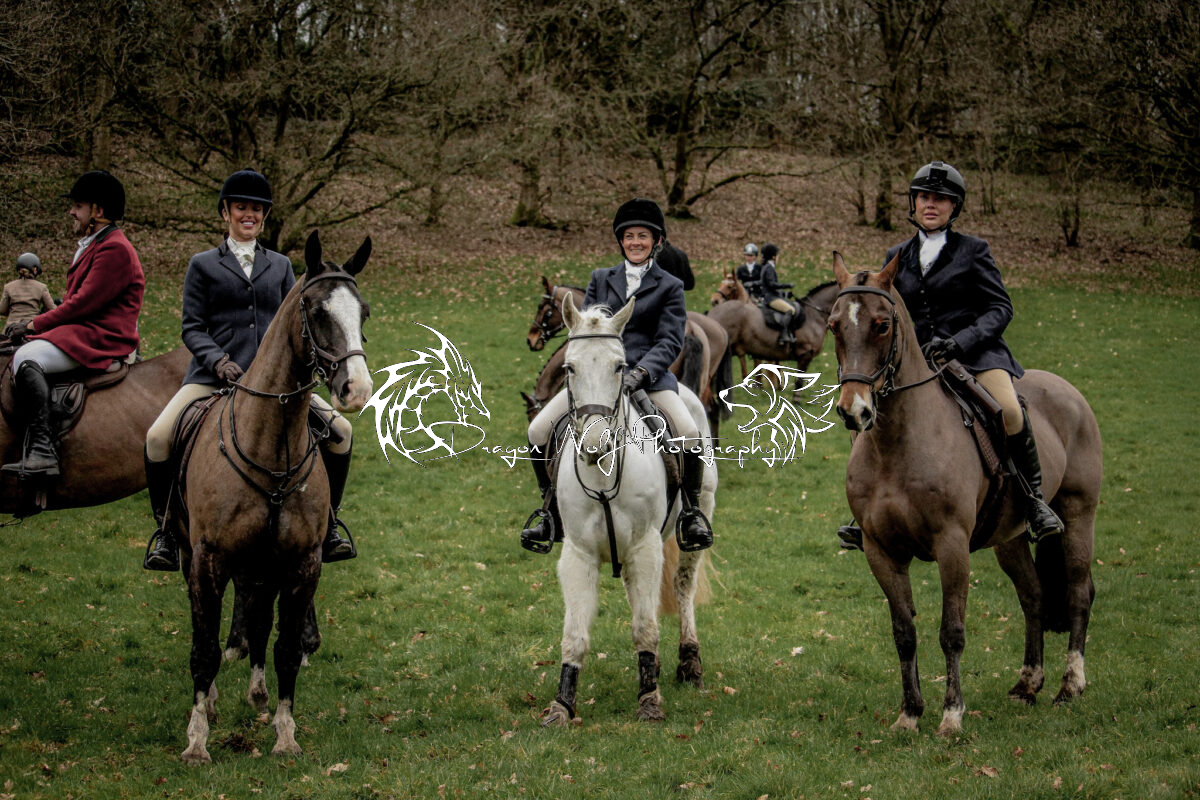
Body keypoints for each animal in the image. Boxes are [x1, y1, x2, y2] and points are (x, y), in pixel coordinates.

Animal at [173, 230, 372, 764]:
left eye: (363, 313)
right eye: (317, 310)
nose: (357, 389)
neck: (271, 443)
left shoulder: (302, 561)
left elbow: (285, 648)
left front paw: (285, 733)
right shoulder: (209, 559)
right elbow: (203, 648)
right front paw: (197, 740)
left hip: (262, 563)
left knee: (259, 620)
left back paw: (257, 692)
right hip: (199, 556)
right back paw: (214, 700)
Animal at [540, 293, 716, 727]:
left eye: (620, 366)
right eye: (569, 367)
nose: (594, 445)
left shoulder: (645, 548)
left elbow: (645, 627)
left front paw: (649, 699)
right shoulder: (579, 554)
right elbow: (575, 635)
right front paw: (561, 706)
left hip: (698, 515)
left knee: (682, 588)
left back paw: (690, 664)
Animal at [827, 251, 1101, 735]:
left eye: (882, 325)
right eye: (834, 325)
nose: (853, 411)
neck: (897, 444)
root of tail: (1068, 390)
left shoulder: (951, 545)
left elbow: (951, 632)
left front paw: (951, 716)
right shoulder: (881, 550)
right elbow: (904, 633)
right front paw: (909, 715)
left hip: (1078, 515)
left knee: (1077, 592)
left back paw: (1070, 685)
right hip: (1010, 537)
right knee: (1033, 595)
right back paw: (1028, 684)